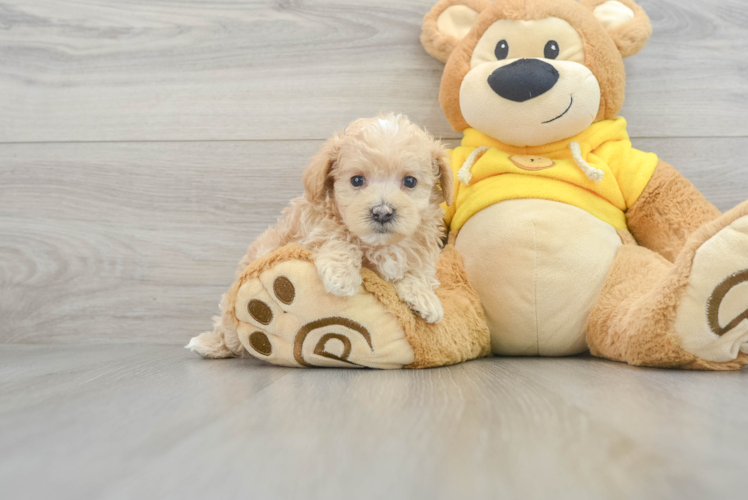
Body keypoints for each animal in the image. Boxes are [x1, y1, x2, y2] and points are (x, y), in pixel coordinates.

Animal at [190, 113, 452, 358]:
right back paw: (212, 343)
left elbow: (416, 270)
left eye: (410, 181)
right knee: (228, 332)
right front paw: (342, 275)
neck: (381, 245)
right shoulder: (312, 229)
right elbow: (337, 236)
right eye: (357, 180)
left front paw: (424, 297)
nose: (382, 212)